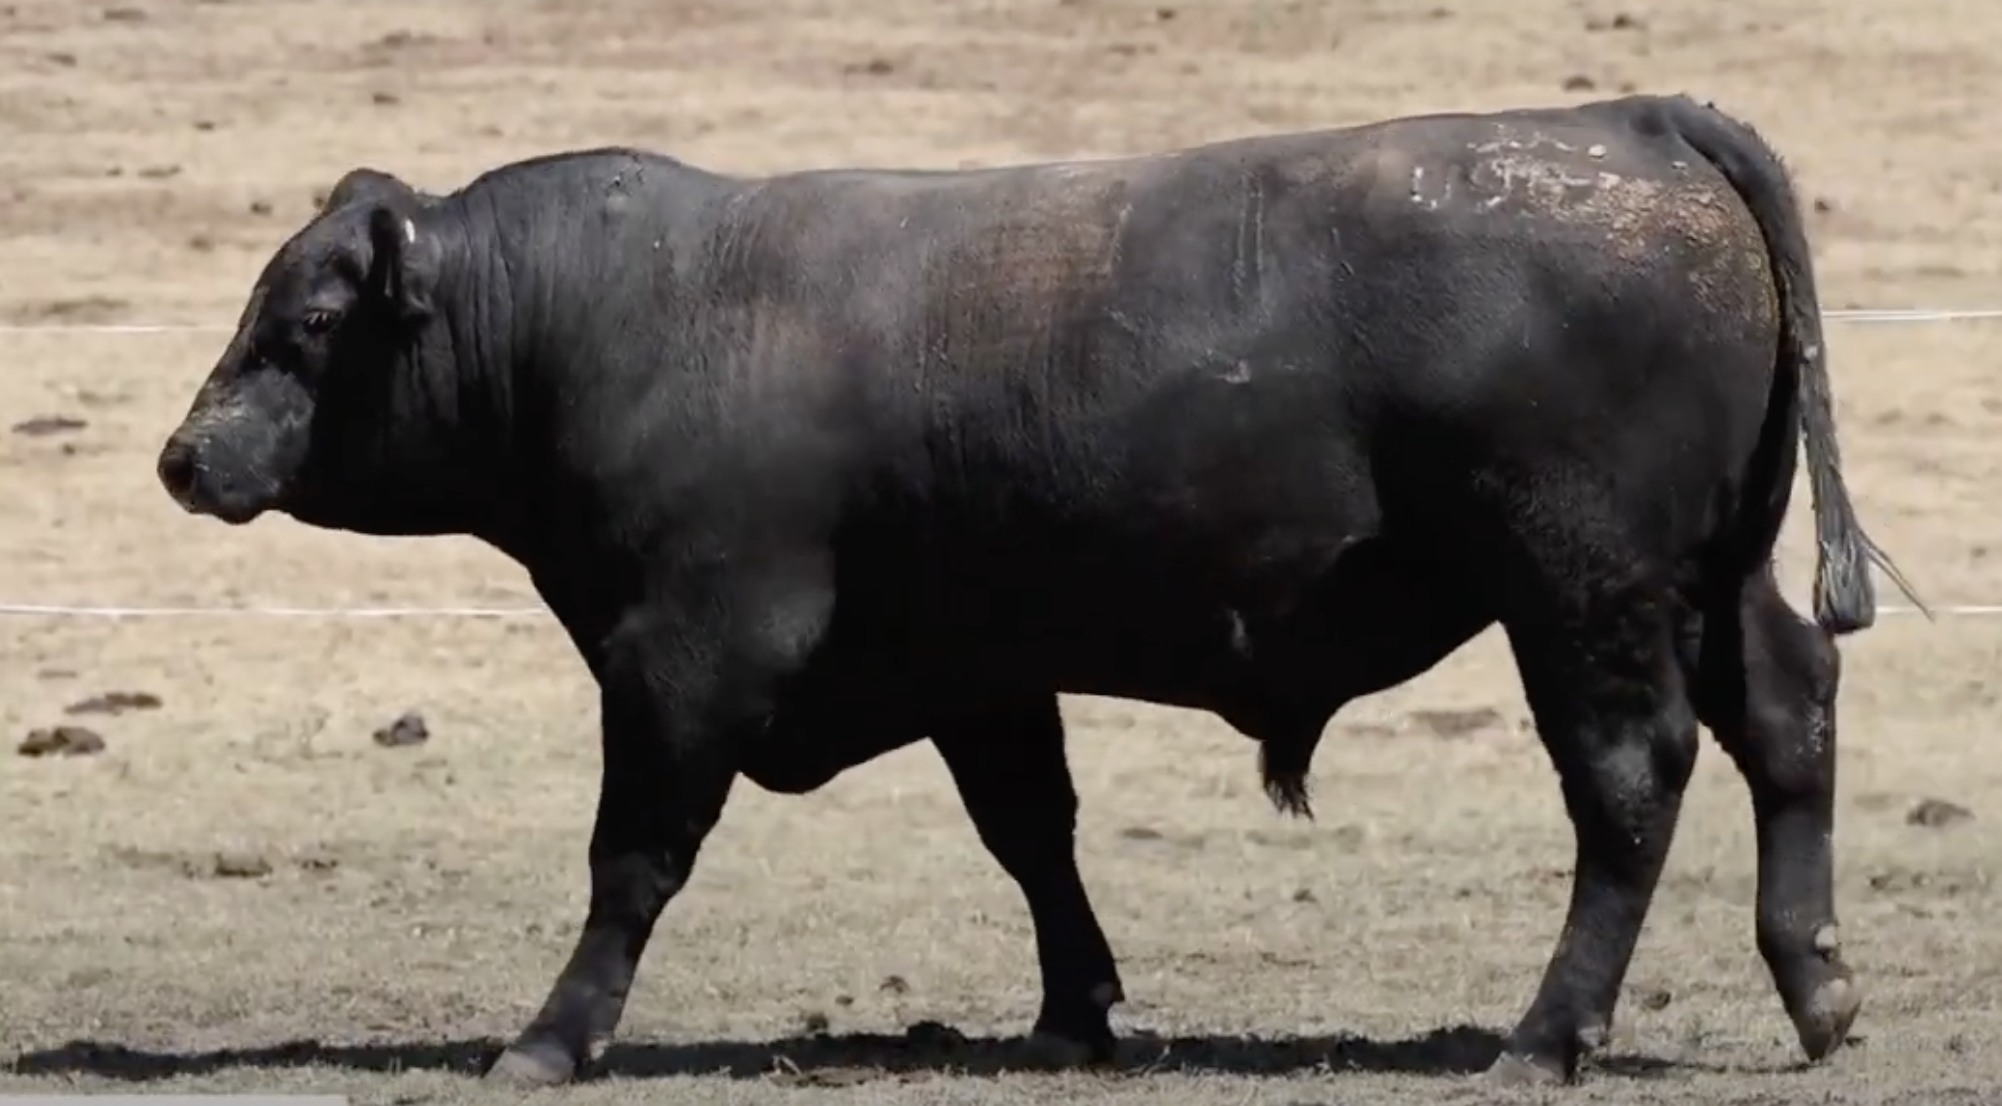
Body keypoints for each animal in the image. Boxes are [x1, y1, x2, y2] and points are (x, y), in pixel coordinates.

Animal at [154, 92, 1919, 1086]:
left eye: (309, 323)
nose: (183, 455)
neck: (635, 315)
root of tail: (1629, 121)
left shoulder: (679, 661)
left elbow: (631, 860)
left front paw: (547, 1035)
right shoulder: (974, 666)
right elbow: (1031, 836)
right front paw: (1075, 1013)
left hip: (1580, 588)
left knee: (1627, 781)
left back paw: (1545, 1034)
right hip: (1708, 578)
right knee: (1788, 718)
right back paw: (1816, 983)